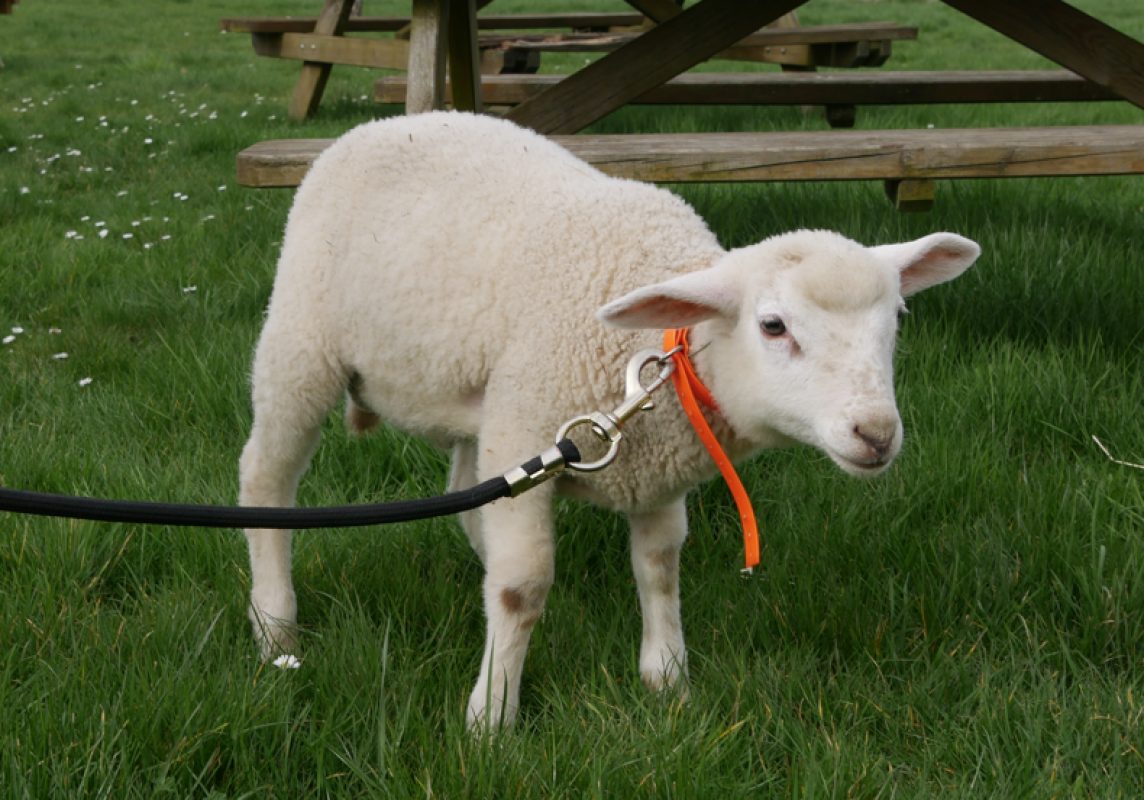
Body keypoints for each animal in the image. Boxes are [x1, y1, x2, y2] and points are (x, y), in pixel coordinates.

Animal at [239, 110, 981, 729]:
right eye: (773, 326)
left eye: (897, 319)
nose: (876, 435)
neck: (653, 355)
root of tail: (387, 122)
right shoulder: (531, 426)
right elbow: (521, 588)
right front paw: (491, 717)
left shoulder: (648, 466)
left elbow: (659, 564)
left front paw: (667, 677)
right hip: (302, 344)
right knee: (265, 477)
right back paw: (275, 623)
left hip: (487, 398)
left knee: (469, 493)